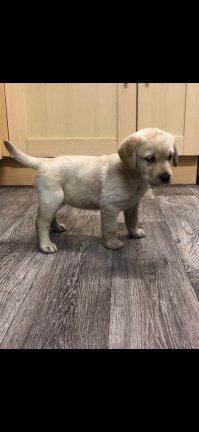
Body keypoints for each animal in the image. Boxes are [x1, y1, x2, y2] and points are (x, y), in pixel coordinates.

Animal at [3, 126, 177, 253]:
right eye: (149, 159)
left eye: (169, 157)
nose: (166, 177)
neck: (133, 174)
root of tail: (44, 162)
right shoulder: (109, 206)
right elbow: (111, 228)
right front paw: (112, 243)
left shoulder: (133, 205)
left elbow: (132, 220)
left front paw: (134, 233)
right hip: (51, 199)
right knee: (40, 222)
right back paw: (45, 245)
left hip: (57, 200)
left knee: (50, 218)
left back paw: (57, 228)